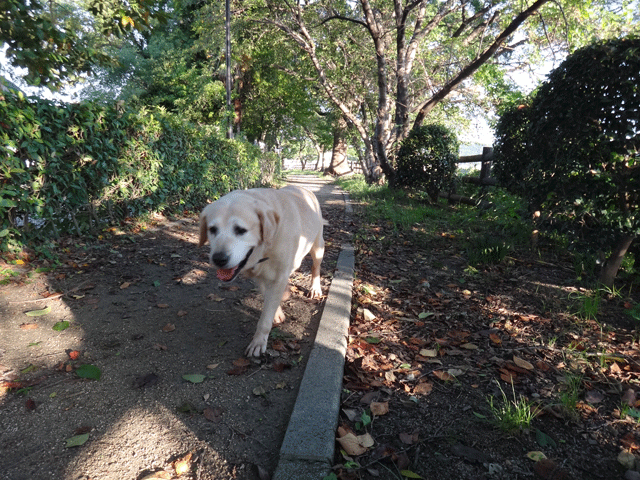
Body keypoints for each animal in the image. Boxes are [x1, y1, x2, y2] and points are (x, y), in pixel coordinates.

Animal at [199, 186, 328, 358]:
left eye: (241, 230)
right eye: (212, 229)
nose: (219, 259)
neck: (265, 249)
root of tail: (303, 188)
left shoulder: (279, 275)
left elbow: (265, 319)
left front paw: (259, 341)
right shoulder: (259, 277)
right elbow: (268, 297)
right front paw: (277, 312)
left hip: (317, 246)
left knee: (315, 267)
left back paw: (315, 288)